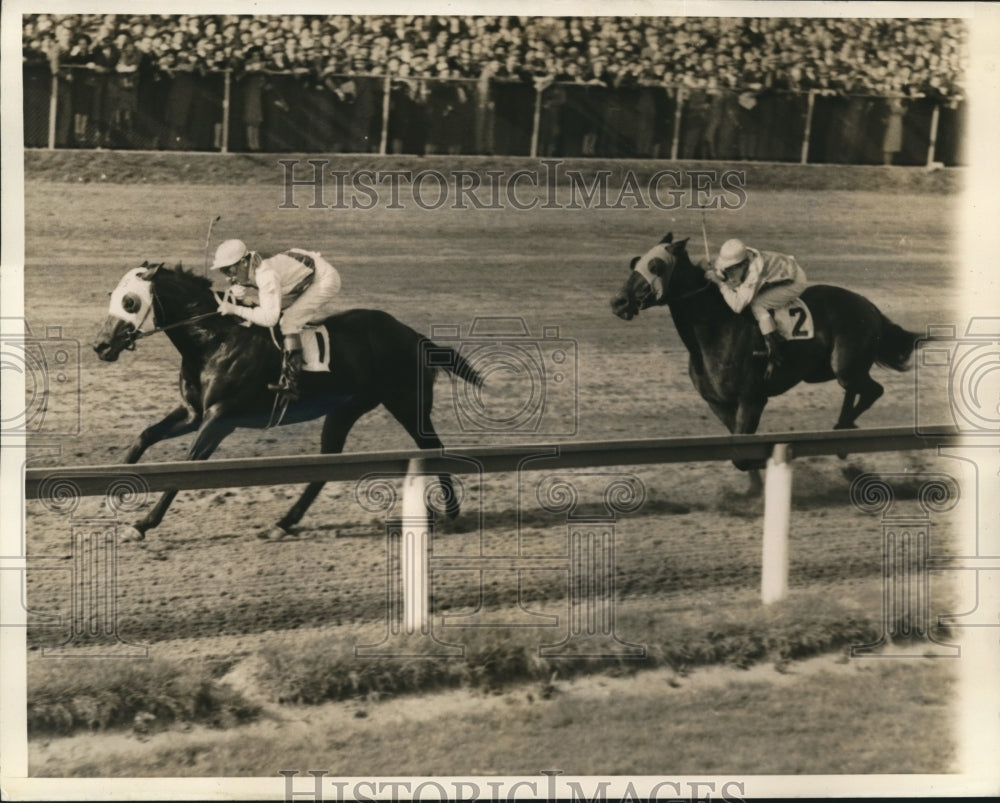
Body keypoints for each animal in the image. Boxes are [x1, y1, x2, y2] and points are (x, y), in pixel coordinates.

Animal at [92, 264, 482, 540]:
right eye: (112, 296)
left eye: (130, 301)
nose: (100, 345)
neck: (214, 341)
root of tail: (414, 335)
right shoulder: (193, 412)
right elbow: (144, 437)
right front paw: (110, 493)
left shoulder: (220, 418)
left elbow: (188, 468)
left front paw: (142, 523)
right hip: (345, 409)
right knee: (327, 464)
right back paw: (283, 522)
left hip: (406, 402)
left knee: (432, 446)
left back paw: (451, 512)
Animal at [604, 236, 916, 494]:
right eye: (635, 262)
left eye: (655, 266)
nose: (618, 302)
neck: (716, 328)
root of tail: (870, 307)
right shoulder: (718, 403)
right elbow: (738, 445)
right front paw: (754, 489)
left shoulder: (752, 399)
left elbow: (743, 454)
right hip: (830, 371)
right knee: (857, 391)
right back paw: (841, 434)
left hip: (845, 367)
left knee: (873, 390)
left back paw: (843, 429)